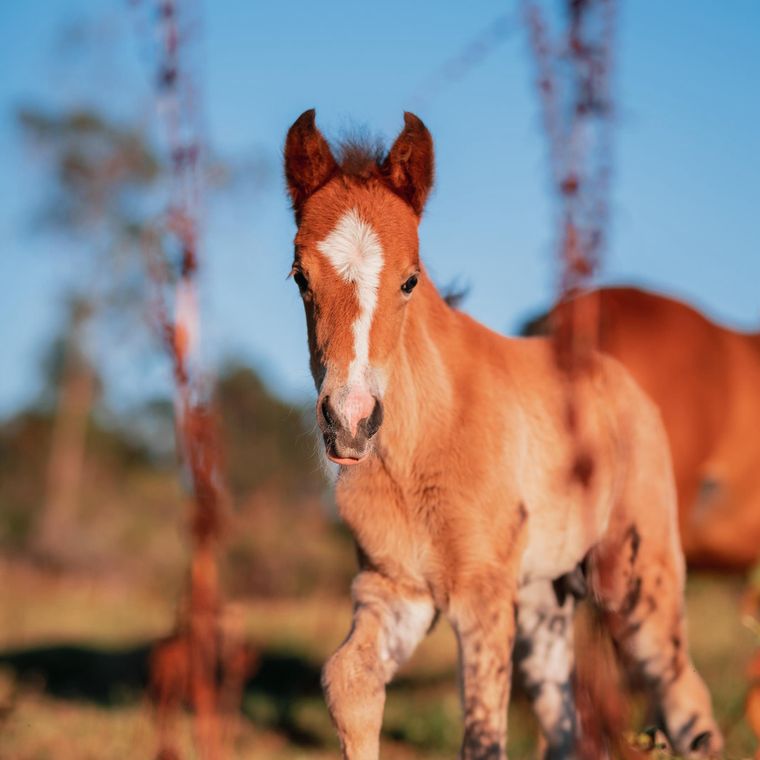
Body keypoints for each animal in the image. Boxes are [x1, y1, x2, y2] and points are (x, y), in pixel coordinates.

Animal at [282, 109, 721, 759]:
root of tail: (623, 382)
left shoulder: (482, 597)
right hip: (545, 599)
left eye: (410, 280)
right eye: (299, 277)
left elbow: (483, 736)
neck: (423, 445)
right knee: (565, 721)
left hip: (640, 578)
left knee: (686, 699)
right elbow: (348, 683)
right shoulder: (393, 588)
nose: (351, 421)